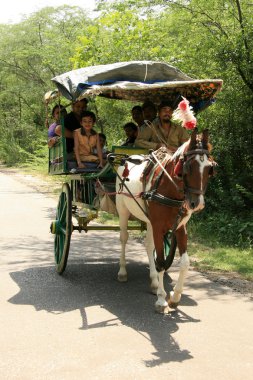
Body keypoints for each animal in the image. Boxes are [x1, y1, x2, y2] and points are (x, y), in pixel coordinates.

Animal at [114, 129, 215, 314]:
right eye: (188, 166)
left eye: (210, 168)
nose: (197, 204)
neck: (170, 189)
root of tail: (127, 159)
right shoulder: (159, 226)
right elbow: (161, 262)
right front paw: (162, 300)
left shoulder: (180, 228)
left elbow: (184, 262)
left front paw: (175, 297)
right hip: (123, 210)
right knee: (124, 238)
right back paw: (122, 271)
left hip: (149, 220)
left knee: (148, 246)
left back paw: (154, 281)